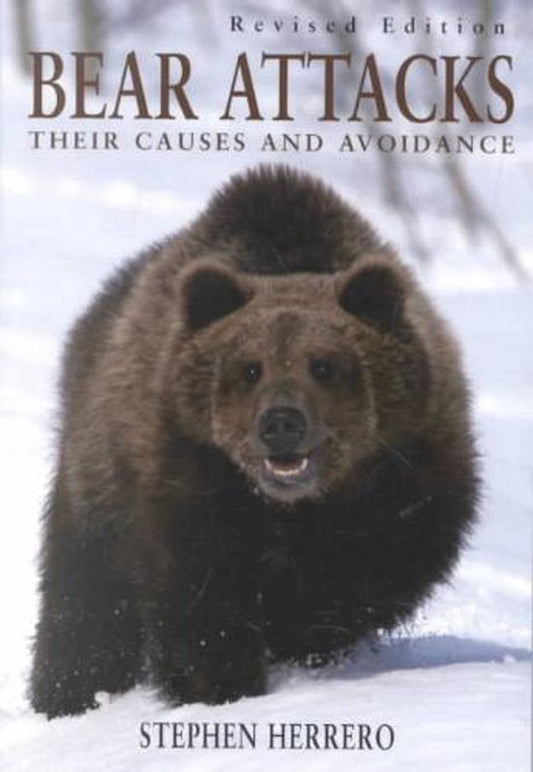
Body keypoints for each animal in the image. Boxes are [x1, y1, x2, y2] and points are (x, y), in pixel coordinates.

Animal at [30, 165, 479, 719]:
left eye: (322, 364)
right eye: (250, 368)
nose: (281, 422)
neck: (293, 509)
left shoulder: (410, 476)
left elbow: (372, 577)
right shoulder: (186, 478)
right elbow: (200, 599)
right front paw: (220, 685)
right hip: (97, 480)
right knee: (85, 604)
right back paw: (71, 695)